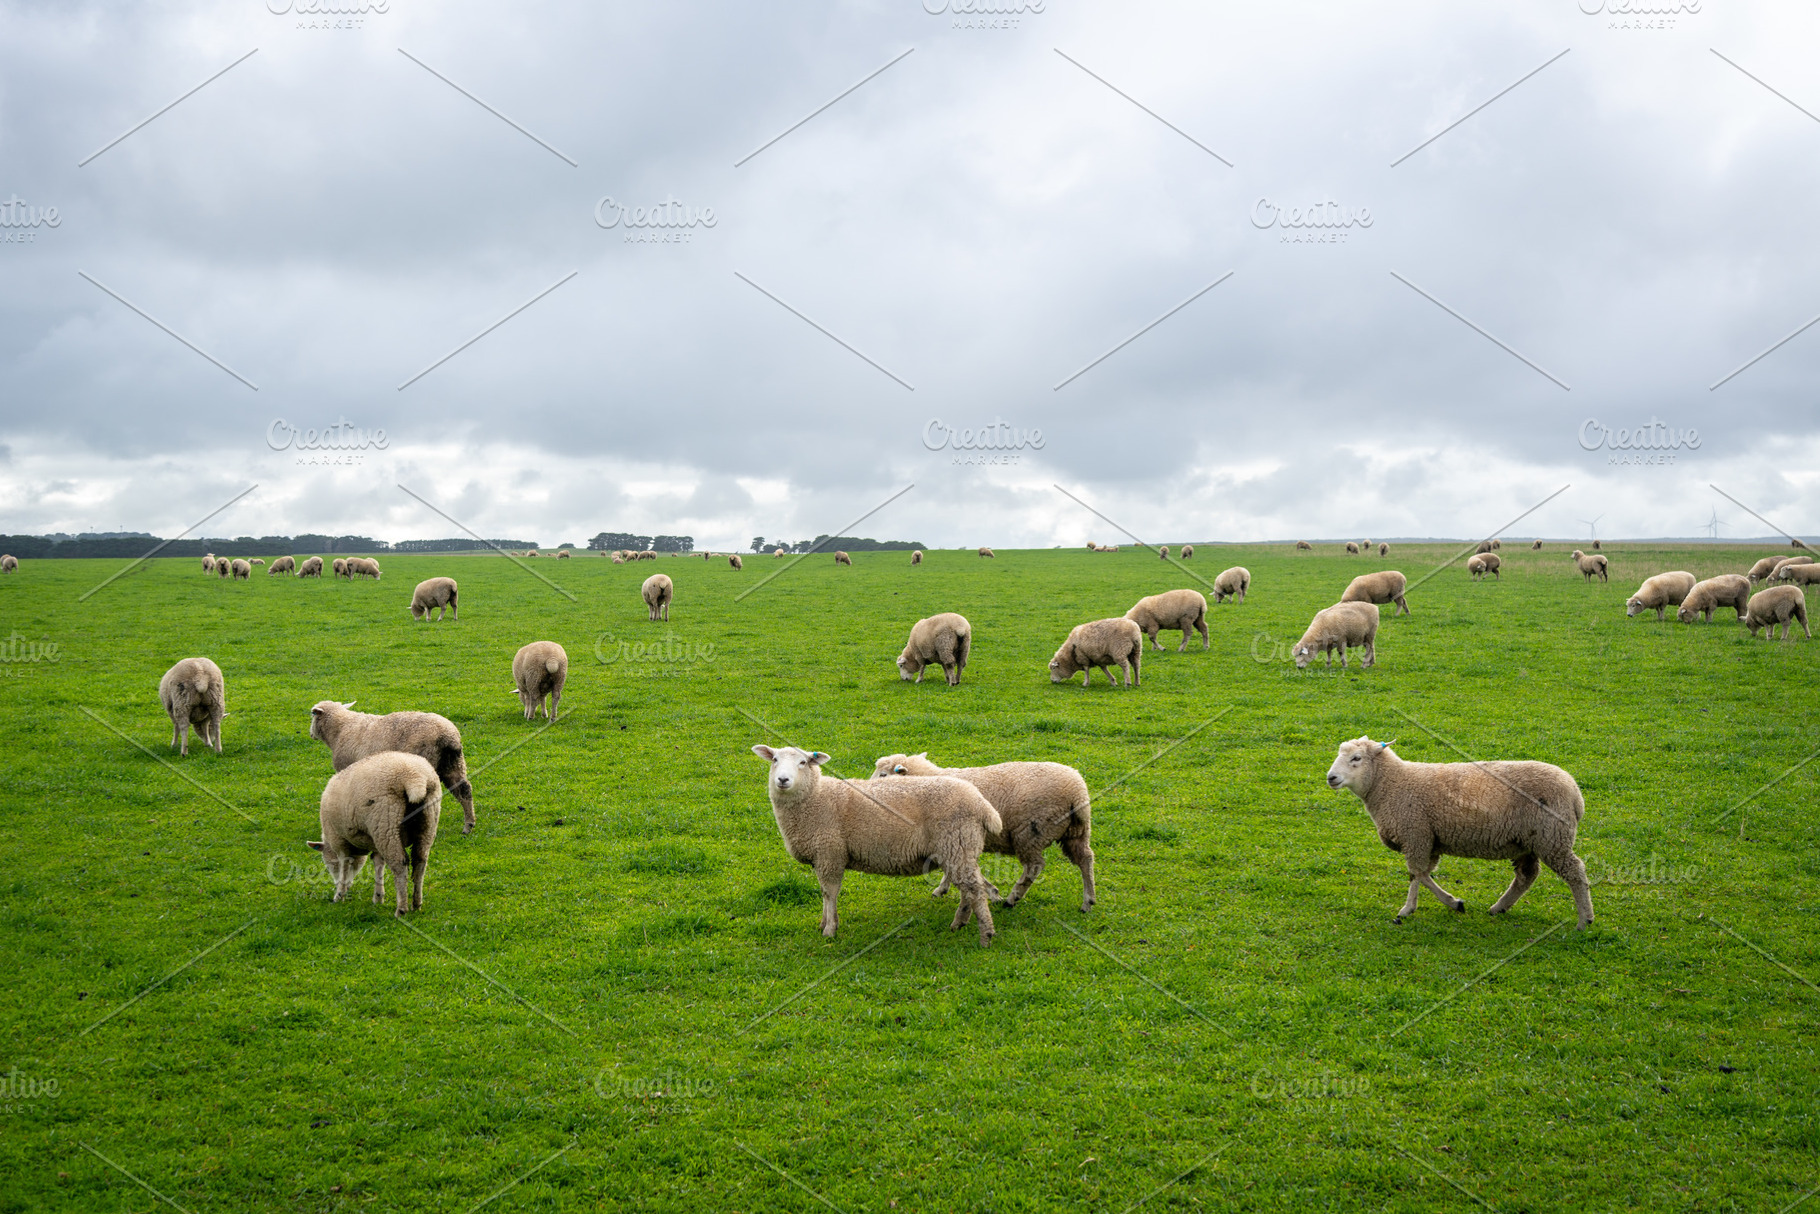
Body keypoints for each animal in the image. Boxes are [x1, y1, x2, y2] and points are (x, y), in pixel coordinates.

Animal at [309, 700, 476, 833]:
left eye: (312, 715)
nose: (310, 734)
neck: (340, 729)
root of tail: (448, 736)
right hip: (453, 764)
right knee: (464, 790)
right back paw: (468, 825)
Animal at [309, 752, 441, 916]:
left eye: (329, 864)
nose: (347, 886)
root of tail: (413, 777)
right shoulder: (374, 842)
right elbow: (378, 864)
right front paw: (378, 897)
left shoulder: (339, 841)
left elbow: (344, 865)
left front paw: (339, 895)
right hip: (427, 822)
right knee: (420, 862)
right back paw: (416, 904)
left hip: (386, 824)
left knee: (399, 864)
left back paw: (401, 909)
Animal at [751, 745, 1001, 945]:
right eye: (775, 760)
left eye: (803, 762)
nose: (783, 780)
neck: (817, 797)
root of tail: (982, 804)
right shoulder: (821, 857)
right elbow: (823, 893)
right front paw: (824, 922)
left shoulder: (830, 854)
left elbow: (830, 893)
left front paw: (830, 929)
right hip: (959, 849)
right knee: (969, 889)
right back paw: (960, 922)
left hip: (956, 845)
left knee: (974, 890)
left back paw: (985, 935)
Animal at [870, 752, 1094, 911]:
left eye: (883, 775)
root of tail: (1078, 792)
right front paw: (943, 889)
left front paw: (993, 893)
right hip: (1076, 832)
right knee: (1086, 859)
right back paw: (1088, 901)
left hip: (1030, 833)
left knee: (1035, 866)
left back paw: (1013, 898)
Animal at [1324, 737, 1593, 928]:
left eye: (1356, 758)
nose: (1331, 777)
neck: (1391, 784)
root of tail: (1575, 794)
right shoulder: (1428, 839)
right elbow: (1421, 875)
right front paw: (1445, 904)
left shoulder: (1416, 834)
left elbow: (1417, 873)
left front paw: (1416, 908)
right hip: (1529, 841)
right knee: (1526, 876)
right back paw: (1499, 907)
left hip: (1552, 837)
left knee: (1574, 872)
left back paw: (1584, 920)